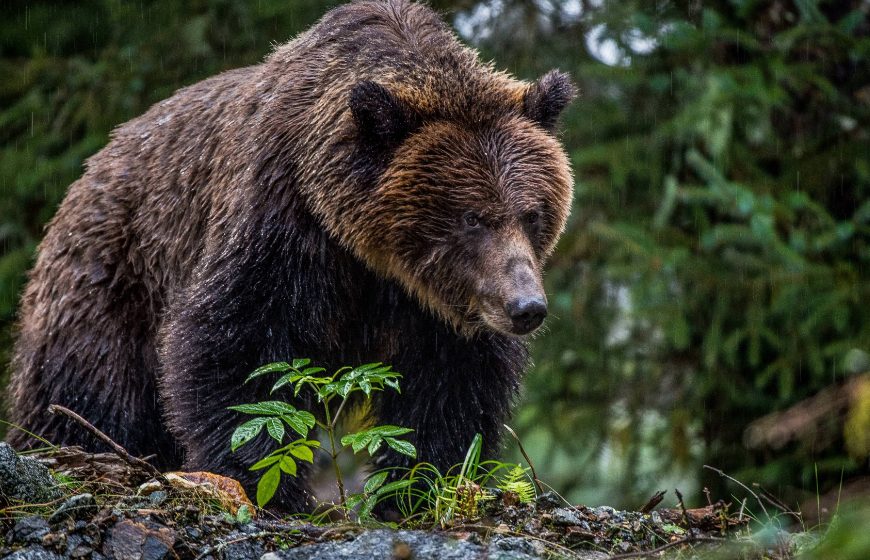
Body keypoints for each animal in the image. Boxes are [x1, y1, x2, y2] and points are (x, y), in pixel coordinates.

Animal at [6, 0, 574, 512]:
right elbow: (238, 343)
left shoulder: (435, 306)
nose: (526, 307)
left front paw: (416, 486)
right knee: (87, 387)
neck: (371, 253)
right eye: (471, 218)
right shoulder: (283, 222)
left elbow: (452, 385)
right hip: (111, 276)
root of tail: (91, 166)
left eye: (532, 214)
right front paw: (268, 482)